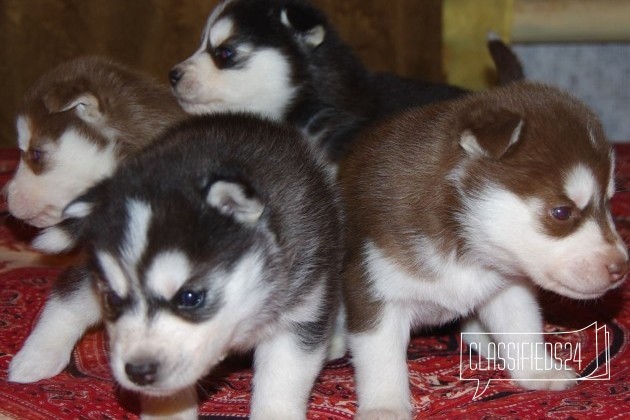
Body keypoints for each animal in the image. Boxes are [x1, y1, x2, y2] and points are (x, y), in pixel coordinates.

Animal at [21, 114, 346, 420]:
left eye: (190, 298)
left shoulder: (301, 310)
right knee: (70, 289)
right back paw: (37, 354)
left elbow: (281, 380)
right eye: (113, 299)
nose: (138, 371)